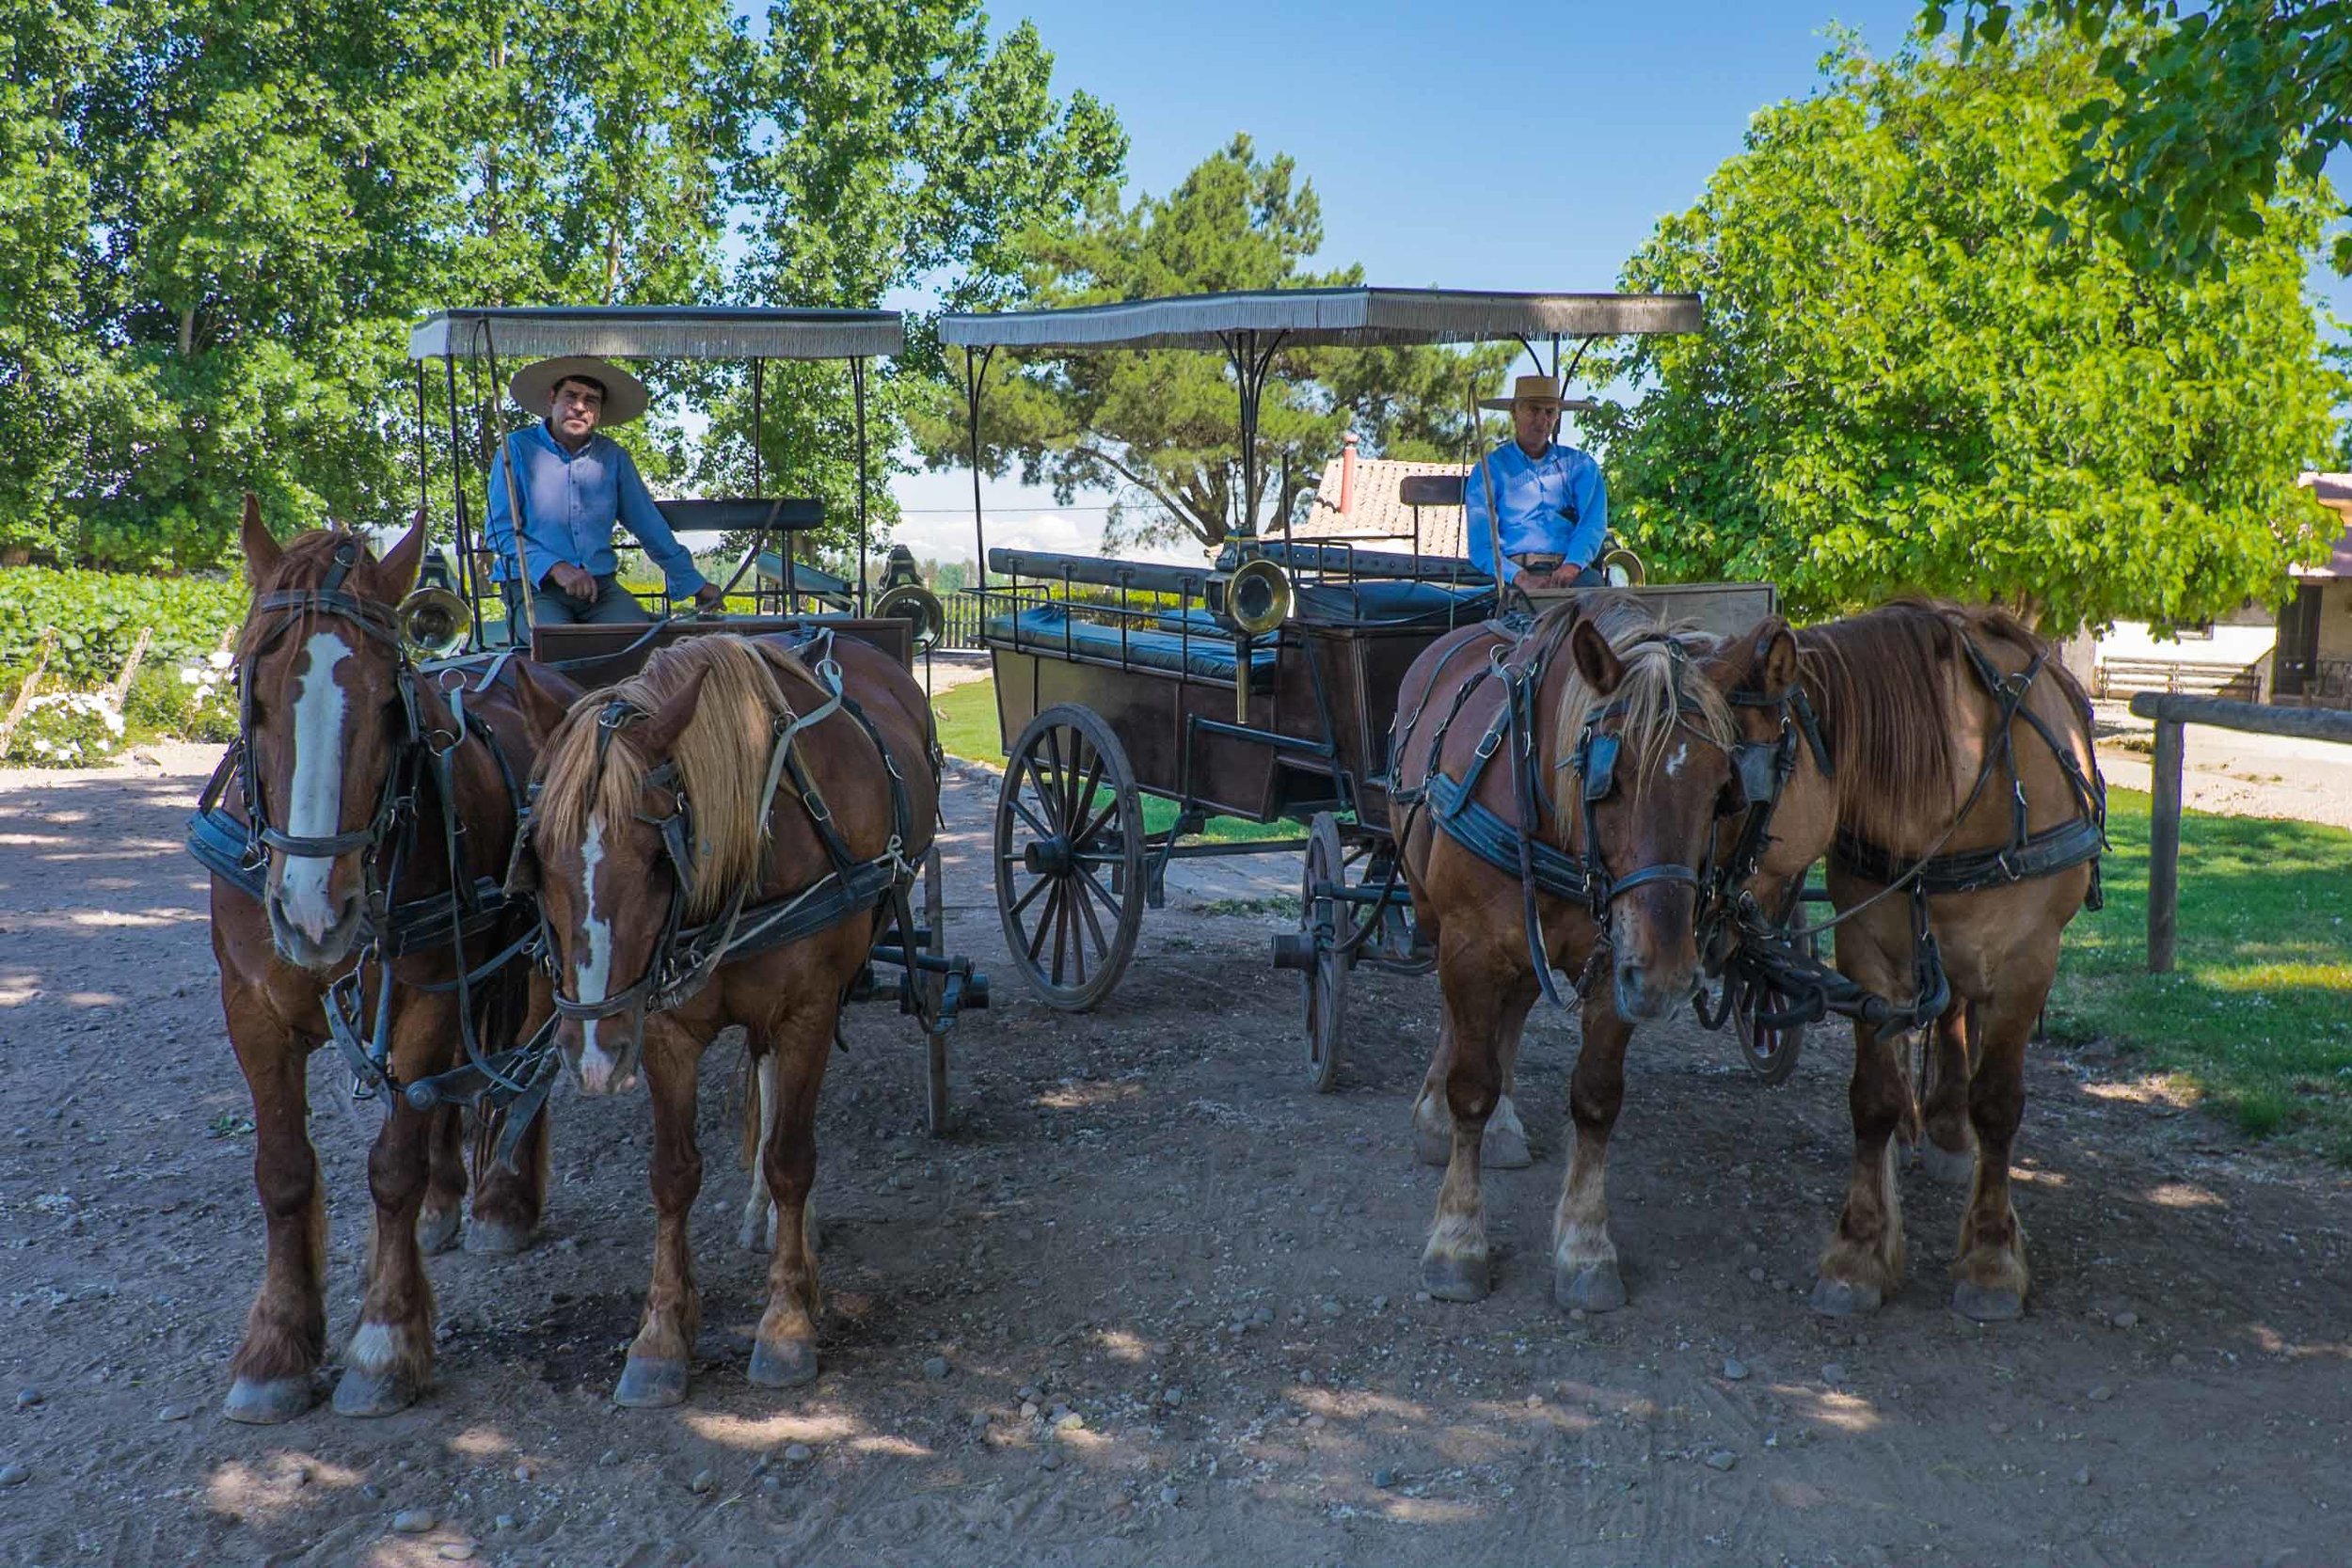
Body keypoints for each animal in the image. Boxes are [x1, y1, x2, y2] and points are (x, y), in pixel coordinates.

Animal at [199, 502, 548, 1419]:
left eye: (393, 703)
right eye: (251, 688)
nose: (315, 913)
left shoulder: (426, 990)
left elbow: (391, 1164)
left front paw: (387, 1338)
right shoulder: (250, 1006)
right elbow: (284, 1172)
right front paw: (277, 1345)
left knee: (521, 1064)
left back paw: (503, 1196)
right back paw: (446, 1198)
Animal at [519, 629, 941, 1401]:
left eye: (657, 855)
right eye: (536, 852)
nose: (591, 1054)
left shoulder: (809, 1008)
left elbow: (791, 1159)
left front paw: (787, 1319)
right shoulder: (658, 1026)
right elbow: (673, 1173)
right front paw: (660, 1333)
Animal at [1374, 601, 1797, 1316]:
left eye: (1723, 789)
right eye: (1609, 776)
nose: (1669, 975)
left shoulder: (1619, 965)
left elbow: (1596, 1098)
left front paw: (1586, 1244)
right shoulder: (1470, 945)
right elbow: (1470, 1084)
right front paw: (1457, 1237)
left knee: (1515, 1009)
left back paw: (1506, 1124)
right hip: (1434, 912)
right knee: (1456, 1022)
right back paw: (1438, 1116)